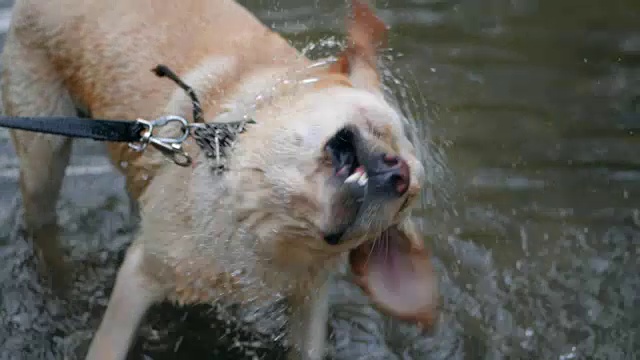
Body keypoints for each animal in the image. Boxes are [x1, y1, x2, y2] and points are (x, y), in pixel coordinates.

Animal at [0, 0, 440, 358]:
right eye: (379, 129)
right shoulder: (139, 276)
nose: (398, 172)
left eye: (405, 198)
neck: (265, 216)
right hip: (43, 151)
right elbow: (108, 347)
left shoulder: (310, 297)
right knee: (42, 223)